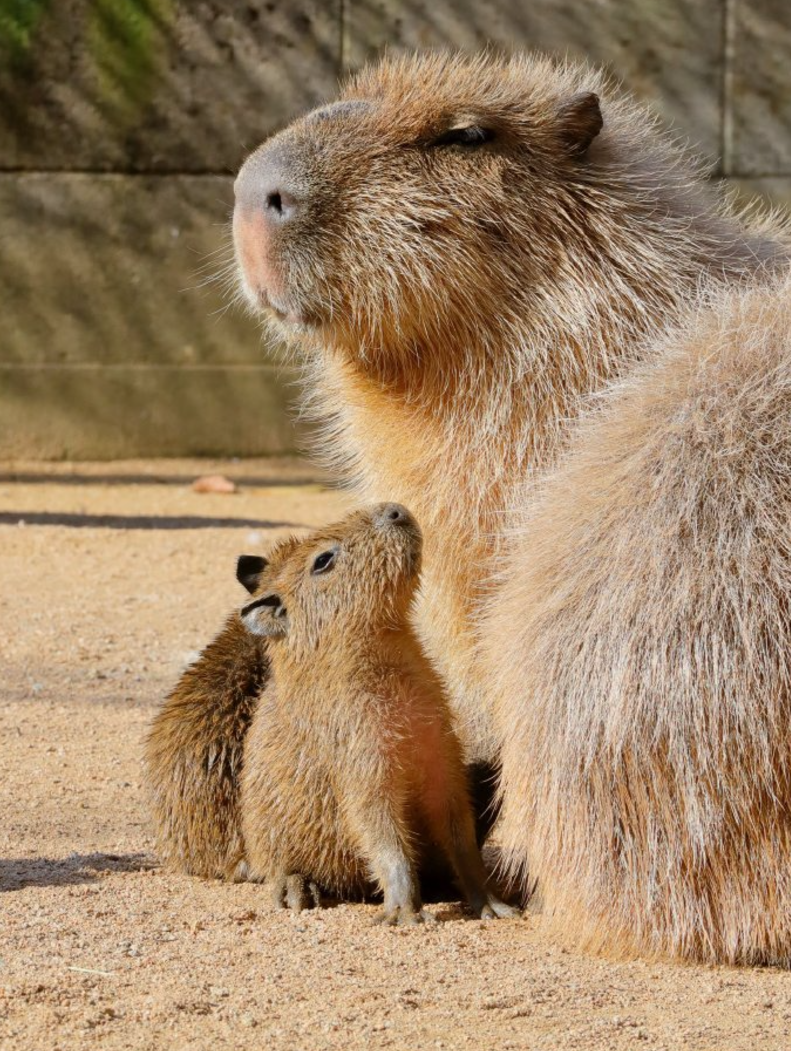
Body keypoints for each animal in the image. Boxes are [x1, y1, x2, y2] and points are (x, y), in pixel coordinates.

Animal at [237, 503, 514, 923]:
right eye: (322, 560)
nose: (395, 510)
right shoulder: (360, 760)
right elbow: (381, 833)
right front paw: (404, 913)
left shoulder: (442, 757)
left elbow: (460, 834)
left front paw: (493, 904)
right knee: (276, 866)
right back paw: (297, 888)